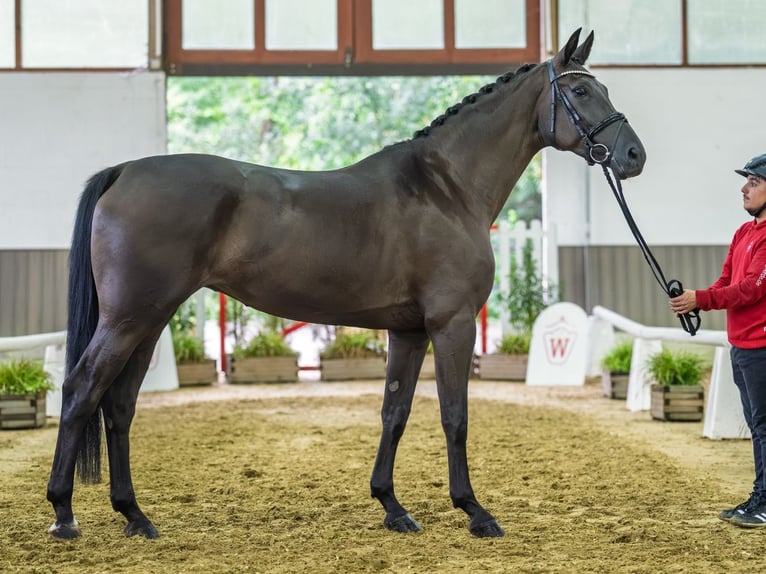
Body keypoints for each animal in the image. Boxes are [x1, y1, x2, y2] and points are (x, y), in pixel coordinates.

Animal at [47, 29, 645, 540]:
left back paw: (134, 515)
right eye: (582, 90)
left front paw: (393, 507)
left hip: (148, 321)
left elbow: (394, 413)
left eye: (603, 87)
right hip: (130, 319)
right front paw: (474, 511)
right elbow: (455, 416)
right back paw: (63, 514)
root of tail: (124, 170)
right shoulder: (452, 325)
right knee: (81, 390)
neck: (445, 190)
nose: (634, 156)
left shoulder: (409, 332)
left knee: (119, 404)